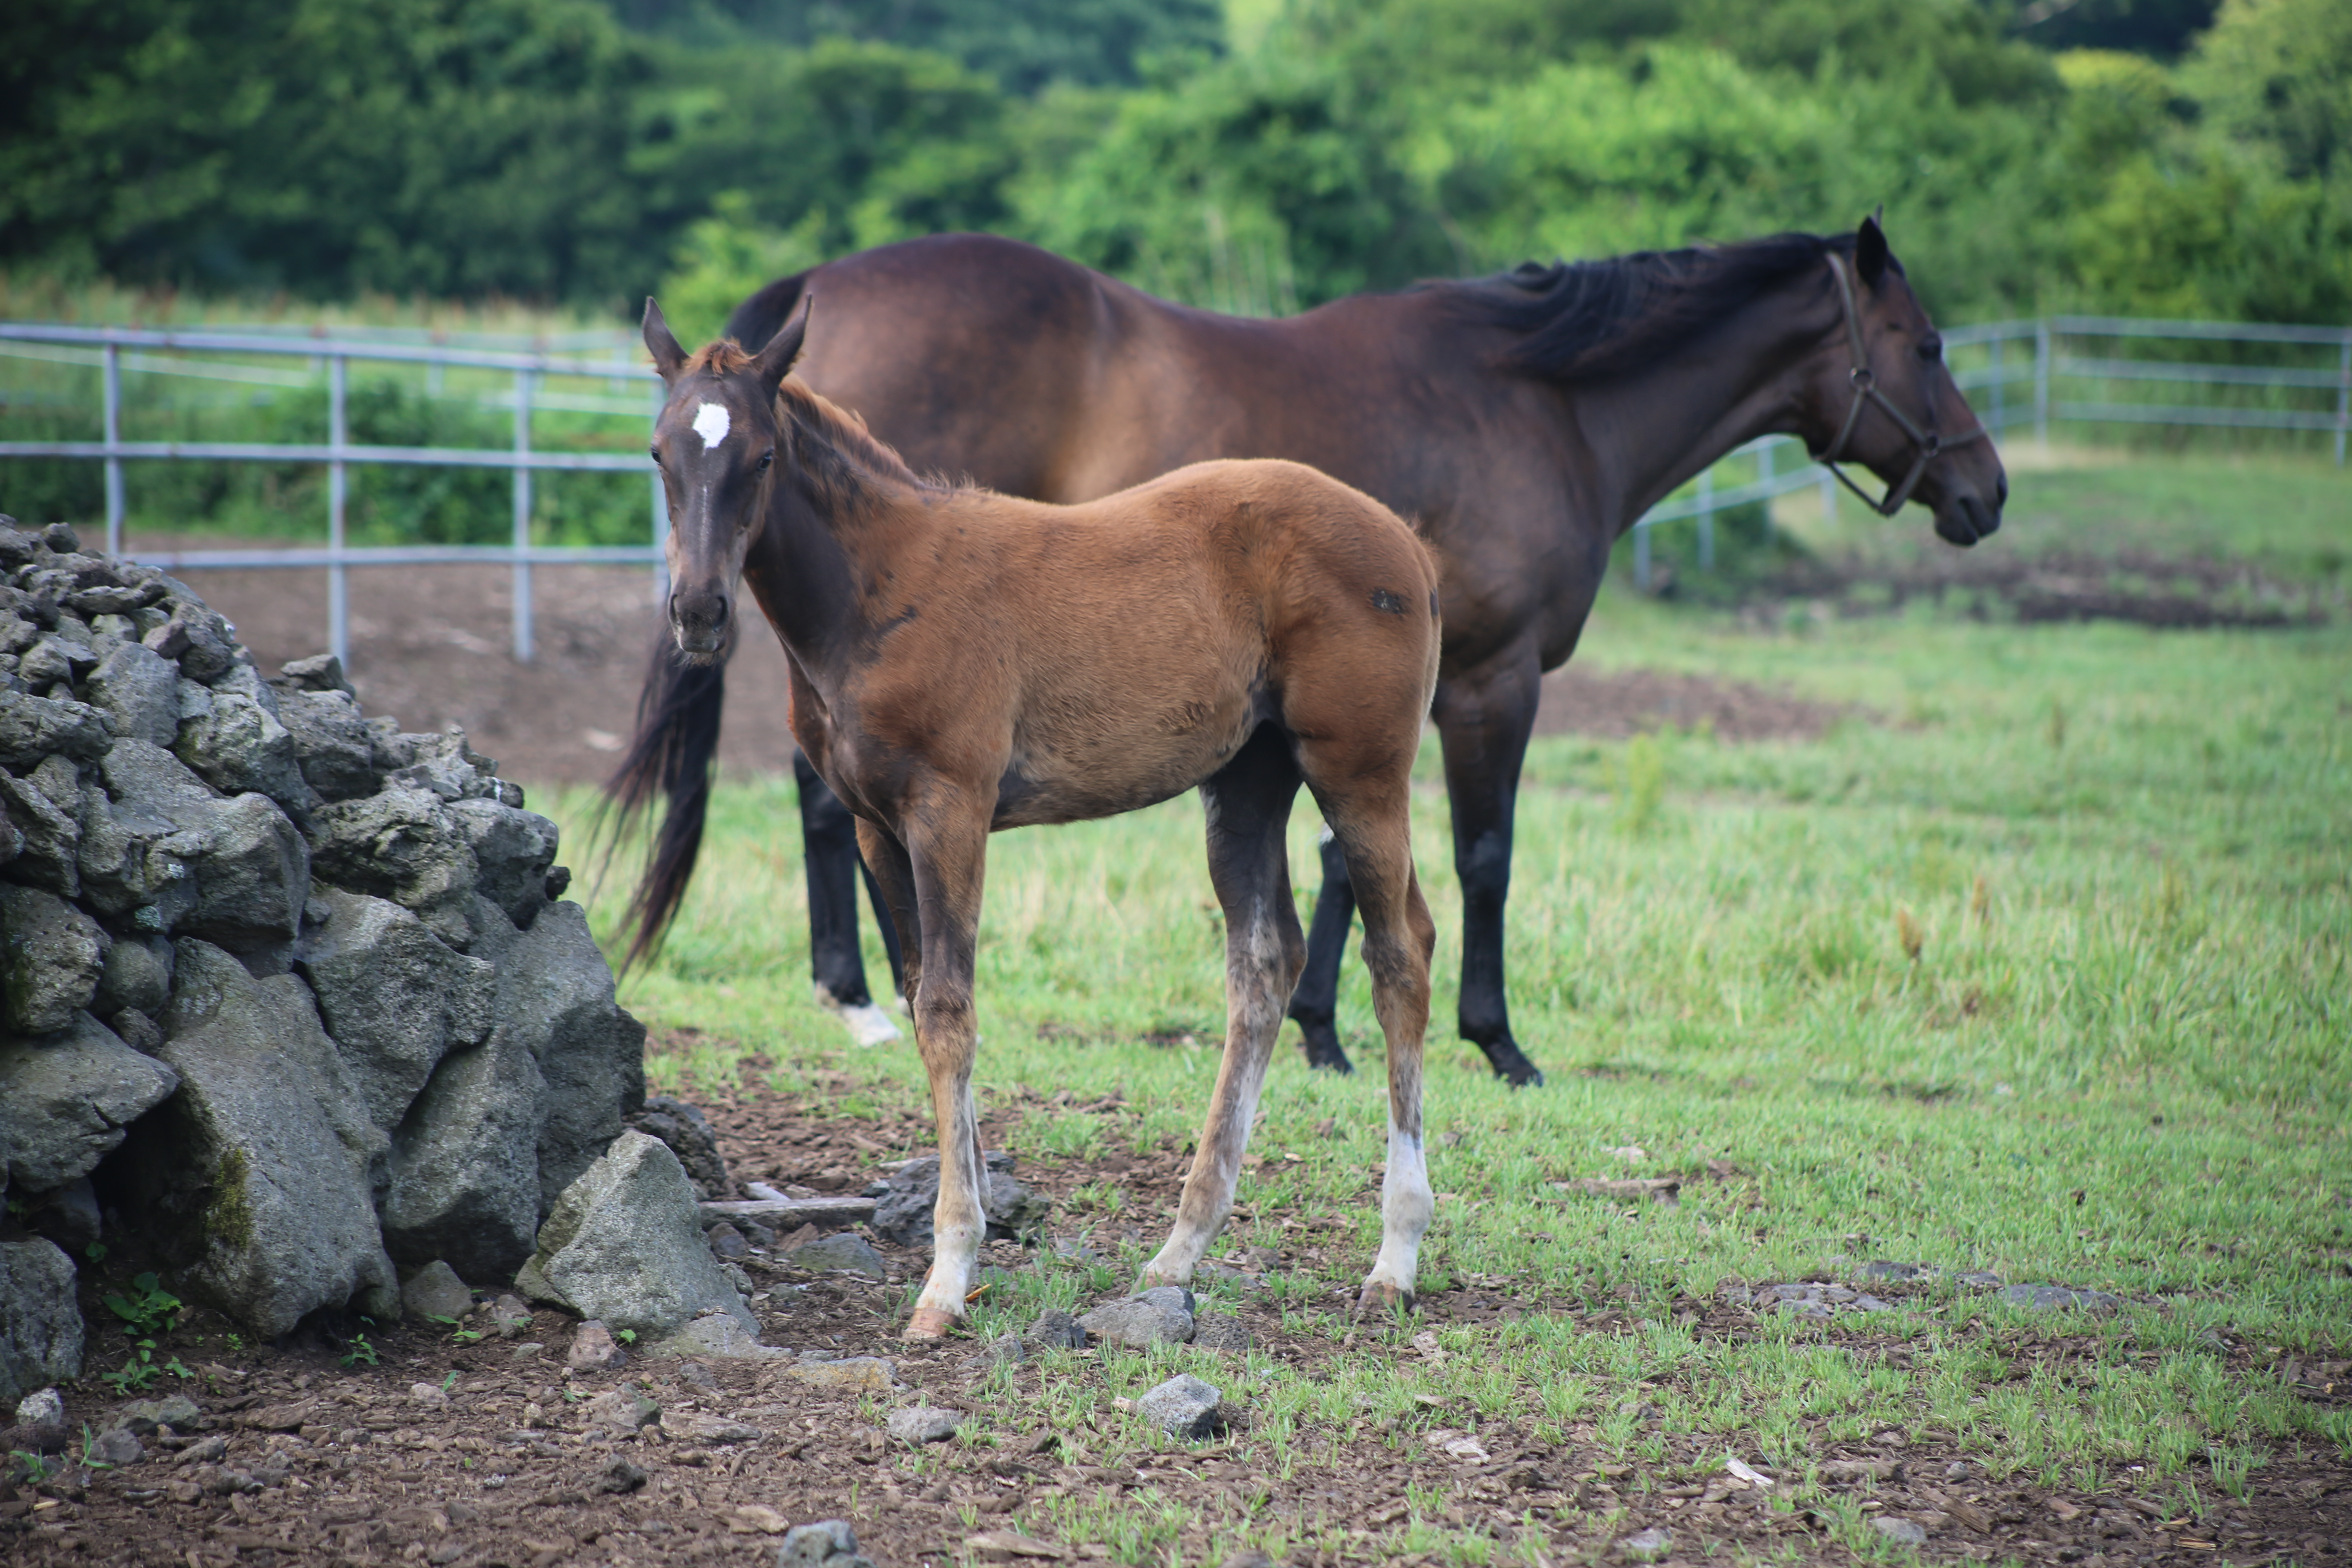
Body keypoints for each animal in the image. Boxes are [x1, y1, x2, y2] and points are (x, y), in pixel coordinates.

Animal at [611, 217, 2004, 1091]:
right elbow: (1482, 856)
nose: (1985, 492)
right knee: (814, 806)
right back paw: (848, 994)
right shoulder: (1493, 681)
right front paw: (1499, 1043)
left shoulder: (1349, 713)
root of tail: (826, 280)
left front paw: (1327, 1030)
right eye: (1930, 346)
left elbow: (1339, 867)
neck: (1536, 398)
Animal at [649, 294, 1449, 1335]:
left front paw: (948, 1274)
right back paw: (1180, 1249)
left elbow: (948, 1008)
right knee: (1264, 965)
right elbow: (919, 994)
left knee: (1400, 955)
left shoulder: (949, 808)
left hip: (1361, 772)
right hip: (1245, 785)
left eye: (760, 456)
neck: (877, 588)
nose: (698, 611)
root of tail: (1407, 544)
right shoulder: (873, 823)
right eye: (661, 454)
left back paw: (1394, 1257)